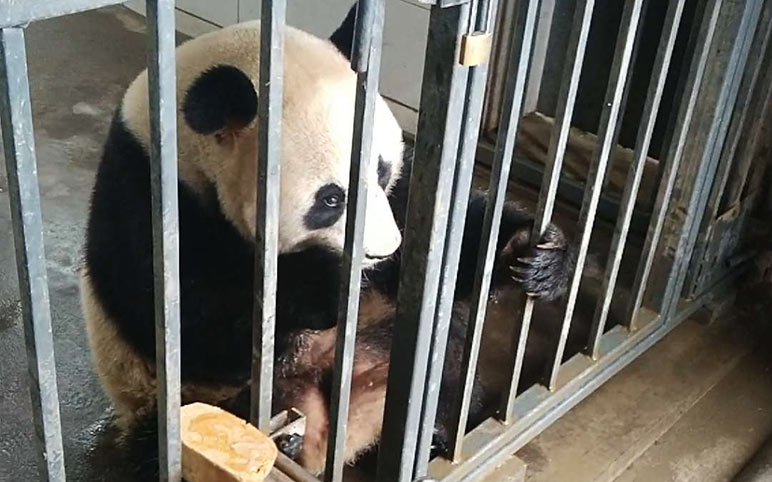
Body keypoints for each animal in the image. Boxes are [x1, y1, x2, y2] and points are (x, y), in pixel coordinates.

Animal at [80, 2, 572, 478]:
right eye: (331, 199)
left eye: (382, 171)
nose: (382, 252)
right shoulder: (144, 195)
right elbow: (189, 321)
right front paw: (326, 284)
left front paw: (535, 254)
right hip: (182, 403)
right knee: (170, 442)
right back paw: (282, 442)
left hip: (380, 336)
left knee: (441, 347)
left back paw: (430, 432)